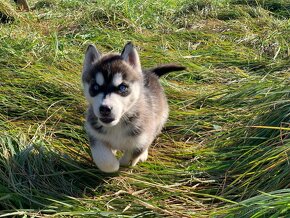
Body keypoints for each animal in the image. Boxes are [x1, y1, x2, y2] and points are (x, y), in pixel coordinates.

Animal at [81, 42, 186, 172]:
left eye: (122, 88)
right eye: (95, 87)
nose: (105, 109)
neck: (117, 126)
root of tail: (149, 73)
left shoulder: (142, 138)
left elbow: (130, 158)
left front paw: (125, 163)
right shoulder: (95, 134)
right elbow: (105, 161)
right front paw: (113, 164)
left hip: (159, 121)